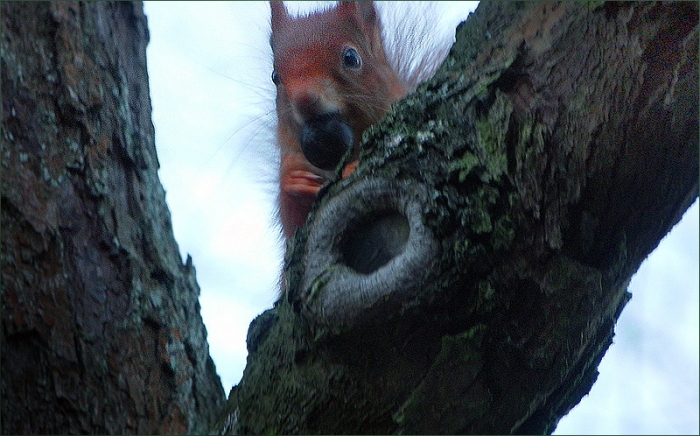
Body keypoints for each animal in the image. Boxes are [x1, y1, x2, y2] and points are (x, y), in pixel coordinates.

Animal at [269, 1, 448, 240]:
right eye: (274, 76)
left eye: (351, 58)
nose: (304, 98)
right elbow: (291, 221)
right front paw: (292, 182)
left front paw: (351, 168)